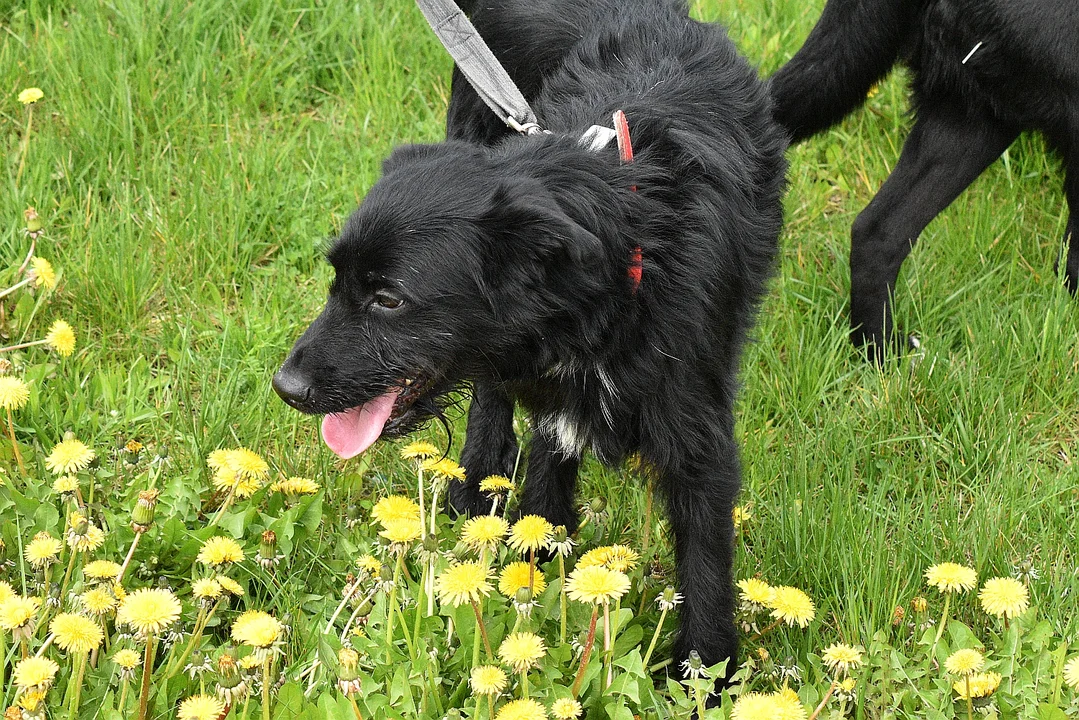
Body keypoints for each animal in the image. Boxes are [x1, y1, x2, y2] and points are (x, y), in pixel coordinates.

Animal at [271, 0, 785, 686]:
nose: (287, 387)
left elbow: (704, 556)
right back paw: (475, 479)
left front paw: (706, 674)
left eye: (389, 298)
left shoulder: (696, 429)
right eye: (336, 279)